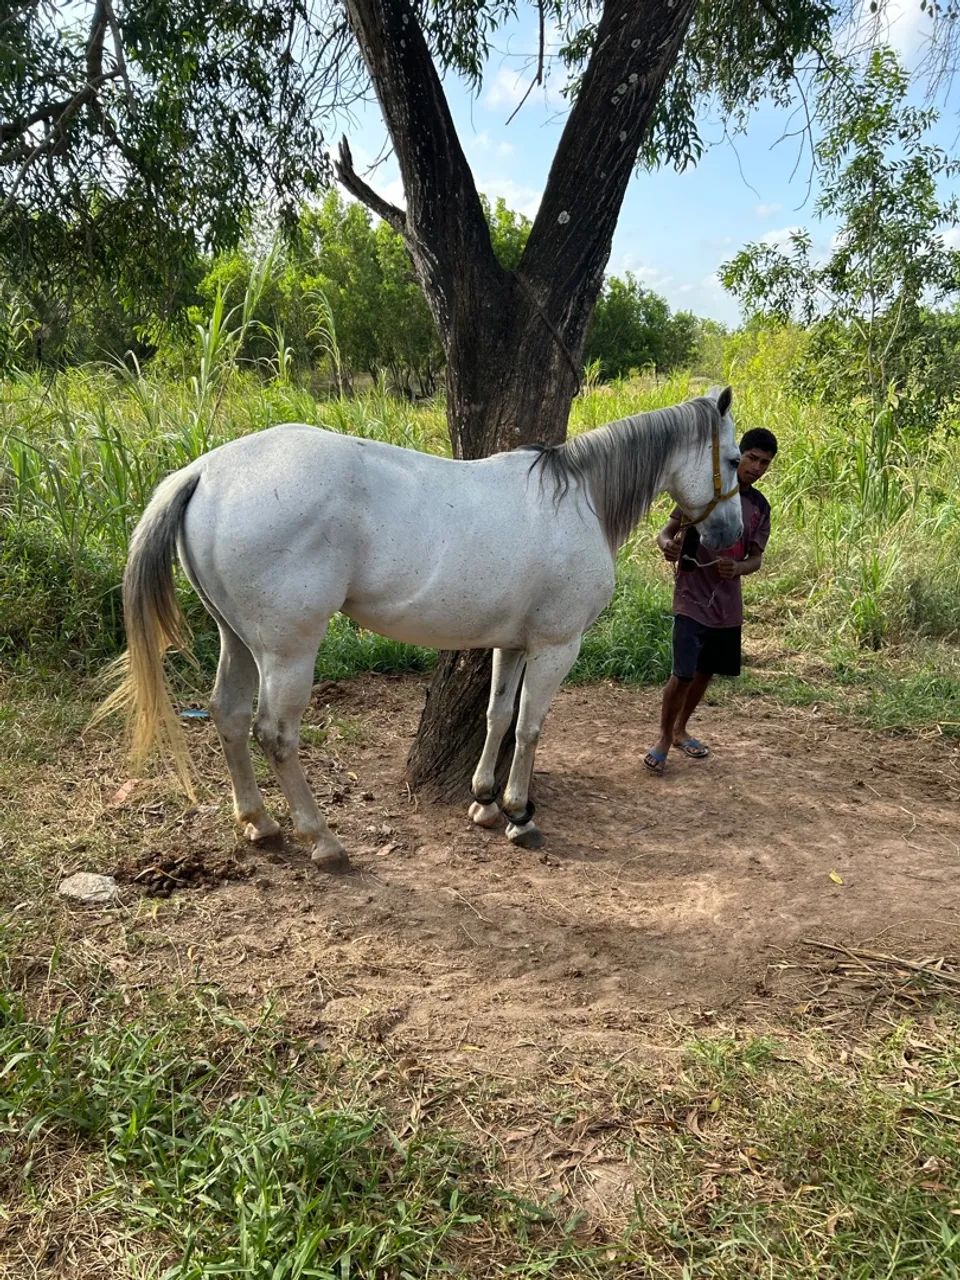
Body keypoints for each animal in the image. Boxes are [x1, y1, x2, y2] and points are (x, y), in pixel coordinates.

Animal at [102, 385, 742, 868]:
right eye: (735, 460)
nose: (729, 537)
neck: (577, 500)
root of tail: (205, 470)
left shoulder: (513, 645)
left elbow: (498, 716)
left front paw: (484, 803)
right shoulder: (557, 647)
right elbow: (530, 728)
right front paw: (519, 814)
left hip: (237, 638)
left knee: (228, 716)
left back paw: (259, 823)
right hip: (287, 652)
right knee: (274, 734)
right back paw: (323, 840)